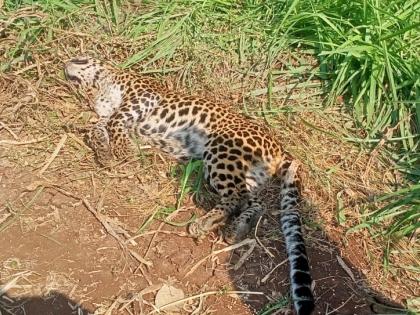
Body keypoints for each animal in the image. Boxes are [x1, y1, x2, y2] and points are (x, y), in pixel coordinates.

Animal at [64, 56, 314, 315]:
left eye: (79, 57)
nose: (65, 65)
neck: (100, 84)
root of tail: (278, 146)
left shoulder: (143, 97)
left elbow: (115, 120)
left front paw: (122, 150)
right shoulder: (106, 114)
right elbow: (99, 127)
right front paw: (104, 151)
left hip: (220, 151)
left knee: (236, 196)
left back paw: (205, 224)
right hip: (247, 174)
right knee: (254, 201)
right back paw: (237, 229)